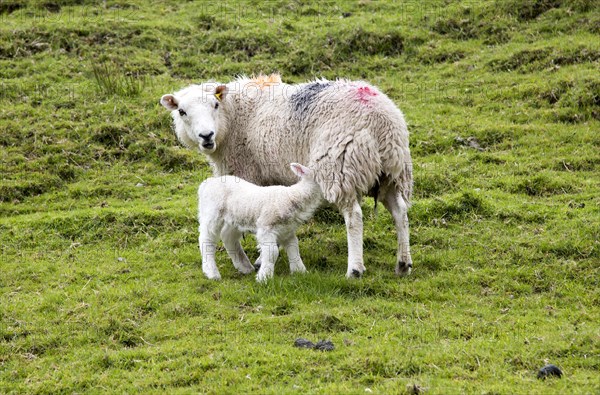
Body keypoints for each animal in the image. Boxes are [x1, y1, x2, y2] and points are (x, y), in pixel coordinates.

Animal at [159, 75, 412, 278]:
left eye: (215, 104)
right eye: (182, 112)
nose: (206, 136)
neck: (233, 117)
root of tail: (381, 119)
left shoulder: (248, 173)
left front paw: (260, 260)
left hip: (339, 166)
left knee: (354, 217)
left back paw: (355, 269)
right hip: (392, 172)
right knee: (400, 212)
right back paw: (403, 263)